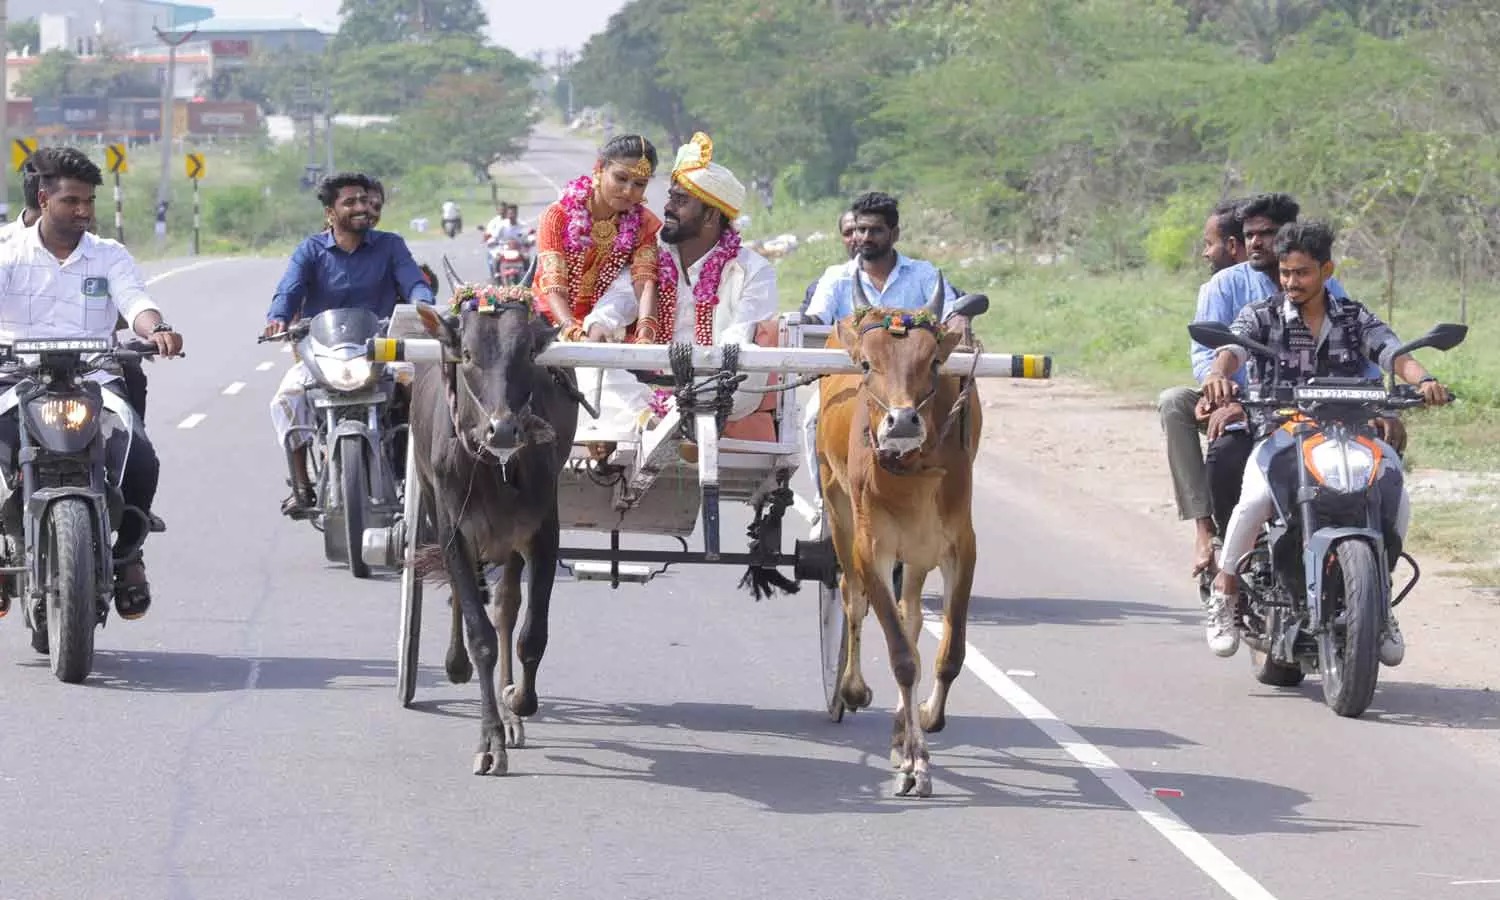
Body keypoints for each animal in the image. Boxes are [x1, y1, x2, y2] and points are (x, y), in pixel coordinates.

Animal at [822, 277, 984, 798]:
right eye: (866, 364)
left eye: (932, 362)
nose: (903, 422)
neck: (912, 470)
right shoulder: (871, 548)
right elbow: (900, 657)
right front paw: (915, 762)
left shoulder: (960, 548)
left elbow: (947, 653)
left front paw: (924, 723)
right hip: (837, 510)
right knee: (851, 599)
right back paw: (850, 690)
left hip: (917, 555)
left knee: (912, 616)